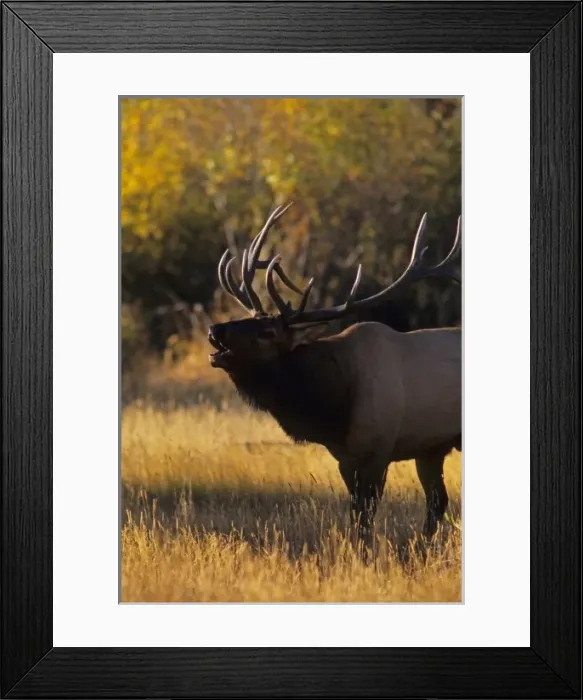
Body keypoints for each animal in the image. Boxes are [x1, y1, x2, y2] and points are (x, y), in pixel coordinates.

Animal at [208, 203, 461, 555]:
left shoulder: (378, 450)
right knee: (437, 502)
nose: (215, 330)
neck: (333, 408)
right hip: (432, 447)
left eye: (267, 332)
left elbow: (366, 515)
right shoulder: (346, 458)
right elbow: (356, 515)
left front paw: (365, 555)